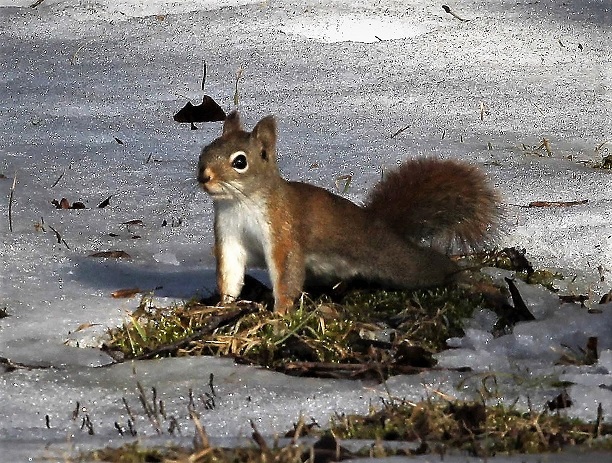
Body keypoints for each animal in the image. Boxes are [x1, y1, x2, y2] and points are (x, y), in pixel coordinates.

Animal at [197, 111, 500, 314]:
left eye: (240, 162)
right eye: (205, 150)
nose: (204, 177)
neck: (241, 204)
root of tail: (380, 224)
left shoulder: (283, 231)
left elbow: (286, 276)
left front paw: (279, 314)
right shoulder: (229, 237)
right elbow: (230, 274)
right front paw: (222, 307)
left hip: (400, 261)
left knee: (436, 268)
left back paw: (477, 283)